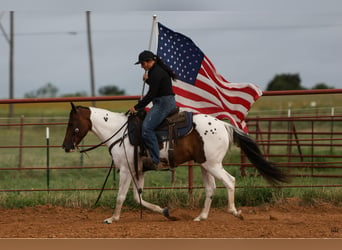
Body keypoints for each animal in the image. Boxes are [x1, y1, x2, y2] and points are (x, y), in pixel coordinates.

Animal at [62, 102, 288, 224]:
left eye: (72, 124)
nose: (65, 146)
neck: (120, 132)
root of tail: (224, 126)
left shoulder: (126, 169)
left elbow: (121, 196)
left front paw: (112, 218)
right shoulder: (138, 171)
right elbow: (137, 197)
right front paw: (165, 212)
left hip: (213, 165)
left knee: (230, 181)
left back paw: (234, 212)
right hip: (204, 165)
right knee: (211, 188)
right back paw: (201, 217)